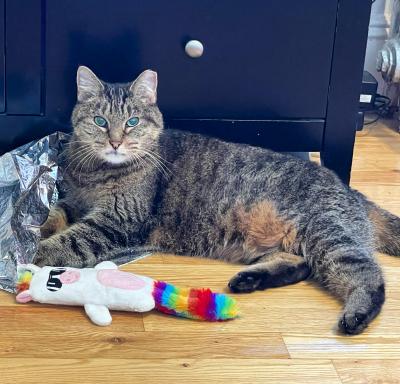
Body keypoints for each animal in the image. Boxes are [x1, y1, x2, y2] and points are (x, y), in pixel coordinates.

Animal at [35, 67, 400, 334]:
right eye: (100, 121)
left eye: (132, 122)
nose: (114, 142)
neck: (97, 172)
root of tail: (350, 190)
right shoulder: (75, 201)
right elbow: (55, 214)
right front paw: (39, 230)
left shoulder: (120, 219)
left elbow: (72, 240)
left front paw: (36, 253)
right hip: (292, 243)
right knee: (301, 265)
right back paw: (251, 279)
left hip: (327, 235)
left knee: (369, 275)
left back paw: (358, 314)